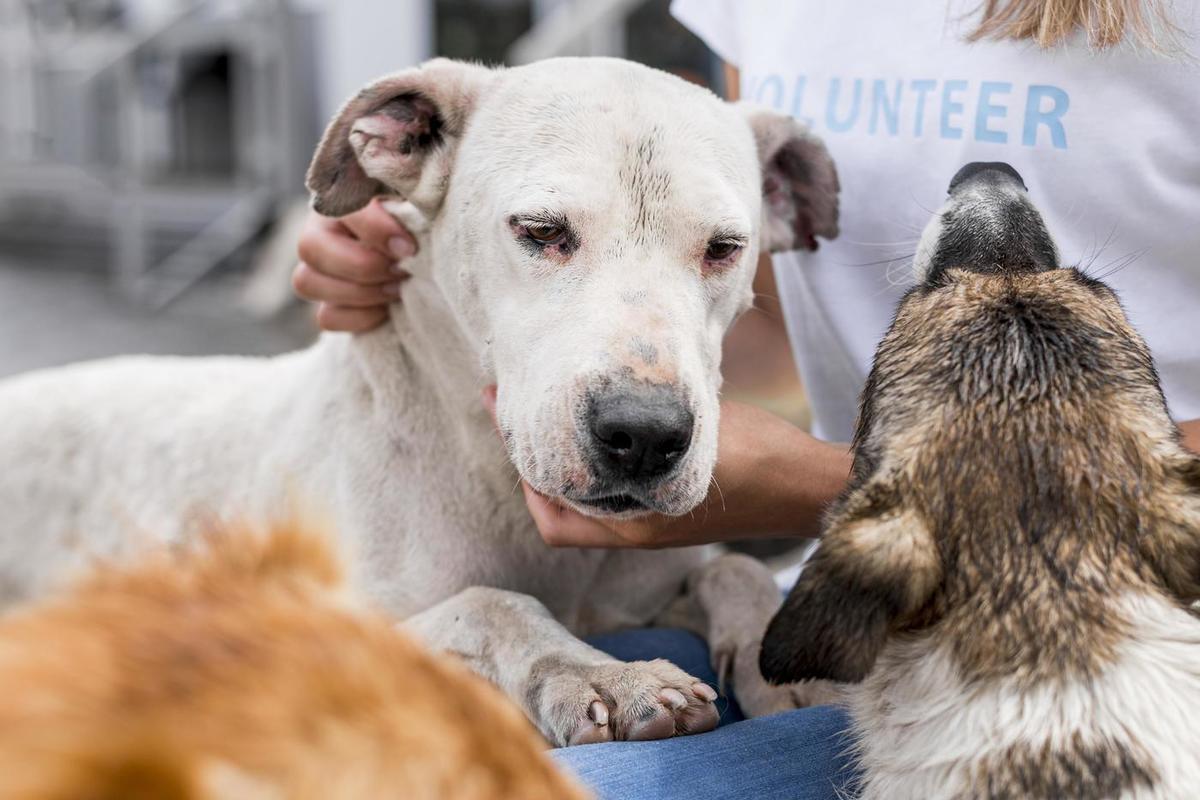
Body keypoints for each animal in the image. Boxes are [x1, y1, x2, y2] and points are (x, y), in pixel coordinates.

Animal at [0, 57, 840, 753]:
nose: (644, 434)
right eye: (540, 231)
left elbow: (739, 571)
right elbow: (491, 604)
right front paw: (600, 675)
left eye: (725, 248)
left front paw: (785, 657)